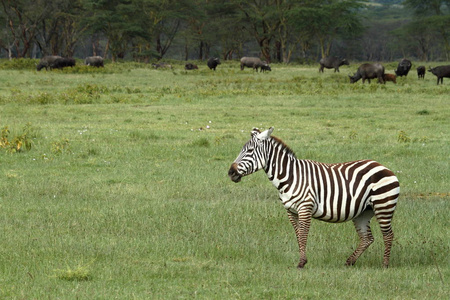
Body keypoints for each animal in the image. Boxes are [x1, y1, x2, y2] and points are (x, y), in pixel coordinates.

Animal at [229, 127, 400, 268]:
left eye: (250, 150)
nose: (230, 172)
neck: (290, 176)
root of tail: (383, 167)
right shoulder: (291, 211)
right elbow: (298, 235)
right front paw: (302, 260)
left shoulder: (305, 207)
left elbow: (303, 234)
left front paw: (301, 263)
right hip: (363, 212)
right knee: (367, 238)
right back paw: (349, 262)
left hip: (383, 205)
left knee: (388, 235)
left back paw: (385, 265)